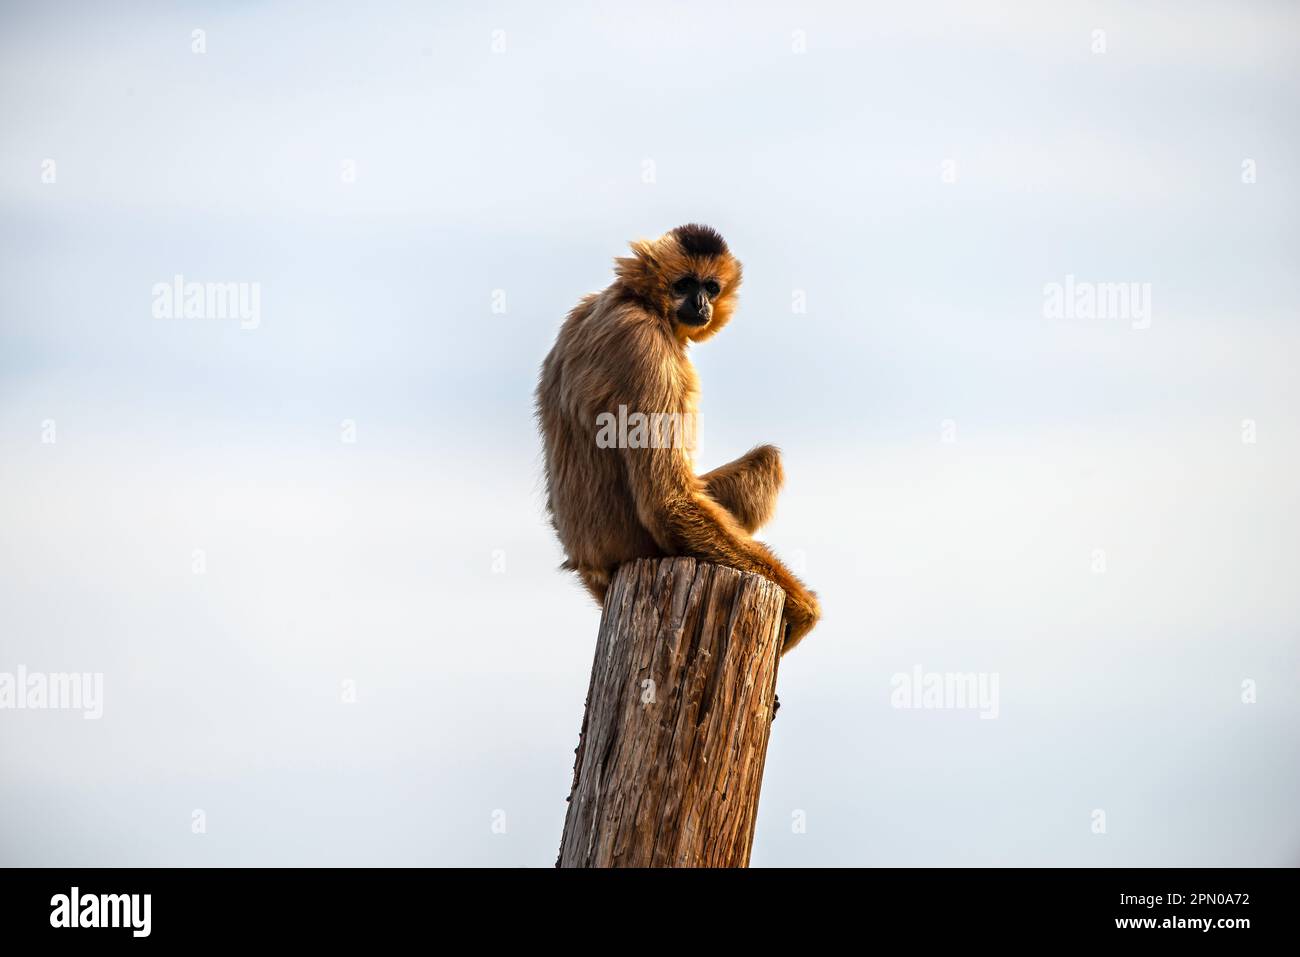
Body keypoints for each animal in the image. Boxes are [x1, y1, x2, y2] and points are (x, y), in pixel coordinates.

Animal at [533, 226, 816, 650]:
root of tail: (590, 562)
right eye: (684, 284)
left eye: (711, 287)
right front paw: (801, 609)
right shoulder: (644, 343)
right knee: (768, 461)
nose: (700, 303)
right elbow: (666, 501)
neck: (634, 299)